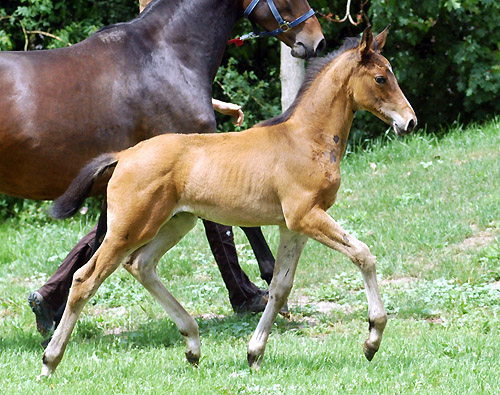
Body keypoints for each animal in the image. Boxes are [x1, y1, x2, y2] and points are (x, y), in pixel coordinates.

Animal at [42, 27, 418, 378]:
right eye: (381, 78)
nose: (410, 121)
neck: (307, 138)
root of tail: (123, 156)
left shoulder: (293, 226)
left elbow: (280, 286)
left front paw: (254, 353)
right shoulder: (306, 216)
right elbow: (363, 254)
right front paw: (372, 338)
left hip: (177, 222)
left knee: (141, 265)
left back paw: (193, 344)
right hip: (128, 228)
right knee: (86, 279)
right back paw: (49, 361)